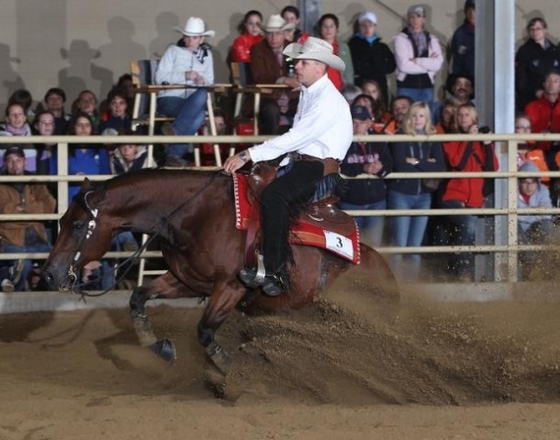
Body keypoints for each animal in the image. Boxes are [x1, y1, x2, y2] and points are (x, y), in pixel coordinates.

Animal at [41, 168, 396, 374]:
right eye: (60, 221)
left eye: (77, 225)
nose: (48, 274)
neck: (196, 213)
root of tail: (386, 273)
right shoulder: (188, 281)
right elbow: (138, 298)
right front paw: (157, 344)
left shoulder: (230, 286)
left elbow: (204, 330)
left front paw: (224, 364)